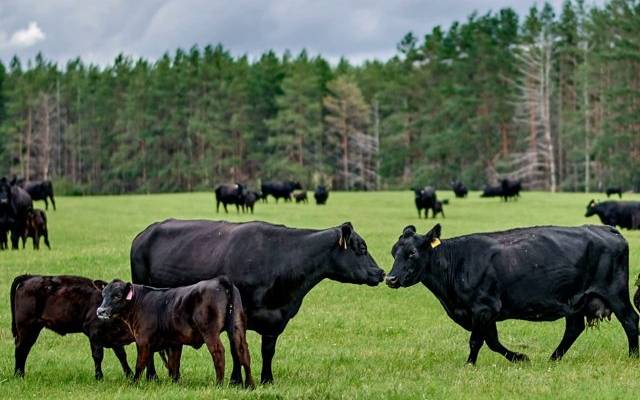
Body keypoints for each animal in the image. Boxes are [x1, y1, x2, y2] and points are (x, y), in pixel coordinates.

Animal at [97, 276, 252, 386]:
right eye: (103, 294)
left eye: (117, 296)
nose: (100, 310)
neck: (140, 302)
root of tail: (220, 280)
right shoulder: (174, 343)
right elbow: (174, 365)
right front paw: (175, 383)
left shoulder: (143, 341)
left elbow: (140, 364)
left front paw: (134, 383)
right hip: (237, 327)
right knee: (243, 352)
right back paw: (250, 385)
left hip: (210, 331)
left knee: (218, 352)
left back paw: (219, 384)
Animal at [127, 220, 382, 382]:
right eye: (362, 248)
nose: (380, 272)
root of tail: (144, 234)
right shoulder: (238, 316)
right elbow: (235, 349)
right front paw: (236, 381)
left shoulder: (276, 320)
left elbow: (268, 351)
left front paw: (267, 379)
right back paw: (151, 376)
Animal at [384, 223, 640, 364]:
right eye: (394, 252)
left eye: (413, 253)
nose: (390, 279)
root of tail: (605, 228)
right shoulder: (485, 314)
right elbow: (492, 341)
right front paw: (520, 358)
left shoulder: (483, 308)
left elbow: (477, 341)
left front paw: (469, 365)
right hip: (574, 301)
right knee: (574, 328)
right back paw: (553, 358)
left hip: (615, 294)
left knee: (630, 320)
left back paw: (633, 356)